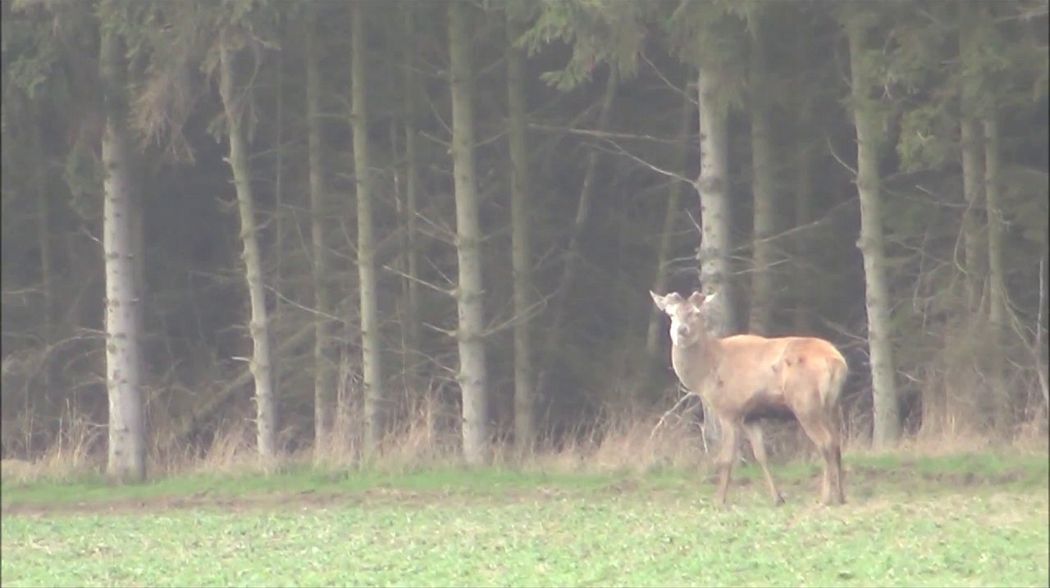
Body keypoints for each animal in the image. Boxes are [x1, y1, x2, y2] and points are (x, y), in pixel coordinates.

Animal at [651, 289, 848, 506]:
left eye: (696, 313)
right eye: (671, 314)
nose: (682, 331)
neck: (706, 375)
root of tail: (836, 362)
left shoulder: (728, 410)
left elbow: (726, 458)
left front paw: (719, 500)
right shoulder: (751, 415)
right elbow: (761, 455)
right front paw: (777, 498)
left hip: (805, 403)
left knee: (825, 442)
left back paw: (825, 498)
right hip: (832, 405)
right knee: (837, 442)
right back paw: (841, 496)